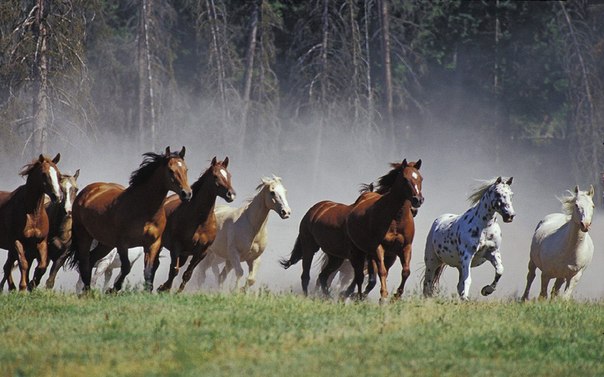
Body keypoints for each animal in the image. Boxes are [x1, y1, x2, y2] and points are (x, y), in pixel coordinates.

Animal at [0, 154, 62, 290]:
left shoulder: (40, 242)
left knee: (7, 267)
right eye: (44, 174)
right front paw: (23, 287)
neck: (32, 214)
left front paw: (32, 284)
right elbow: (24, 264)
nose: (57, 196)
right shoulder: (17, 241)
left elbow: (42, 266)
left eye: (59, 175)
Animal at [66, 146, 190, 290]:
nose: (187, 194)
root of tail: (87, 191)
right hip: (84, 236)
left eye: (186, 169)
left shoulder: (153, 244)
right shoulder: (123, 244)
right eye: (170, 170)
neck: (145, 211)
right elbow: (125, 268)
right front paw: (113, 289)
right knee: (85, 263)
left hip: (106, 243)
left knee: (91, 260)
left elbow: (148, 271)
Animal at [157, 156, 237, 290]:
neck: (200, 222)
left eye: (229, 175)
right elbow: (174, 271)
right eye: (215, 176)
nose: (231, 195)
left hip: (185, 254)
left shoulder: (201, 252)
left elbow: (187, 274)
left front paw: (175, 291)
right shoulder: (176, 247)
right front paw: (164, 289)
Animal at [280, 159, 422, 300]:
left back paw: (328, 297)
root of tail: (315, 209)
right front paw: (377, 297)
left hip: (336, 257)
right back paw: (310, 296)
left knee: (323, 276)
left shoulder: (399, 250)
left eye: (421, 178)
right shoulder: (373, 251)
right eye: (405, 179)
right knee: (307, 276)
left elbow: (403, 272)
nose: (417, 202)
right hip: (310, 247)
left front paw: (394, 296)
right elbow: (375, 275)